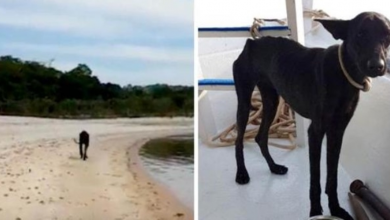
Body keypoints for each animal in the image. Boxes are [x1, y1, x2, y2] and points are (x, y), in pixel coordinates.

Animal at [233, 12, 388, 220]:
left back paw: (274, 167)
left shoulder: (337, 131)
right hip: (244, 100)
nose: (377, 66)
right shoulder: (316, 132)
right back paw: (242, 173)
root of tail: (252, 42)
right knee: (239, 139)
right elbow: (315, 179)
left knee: (260, 137)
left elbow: (332, 176)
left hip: (271, 101)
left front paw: (336, 209)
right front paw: (315, 211)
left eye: (387, 36)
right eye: (360, 34)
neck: (343, 75)